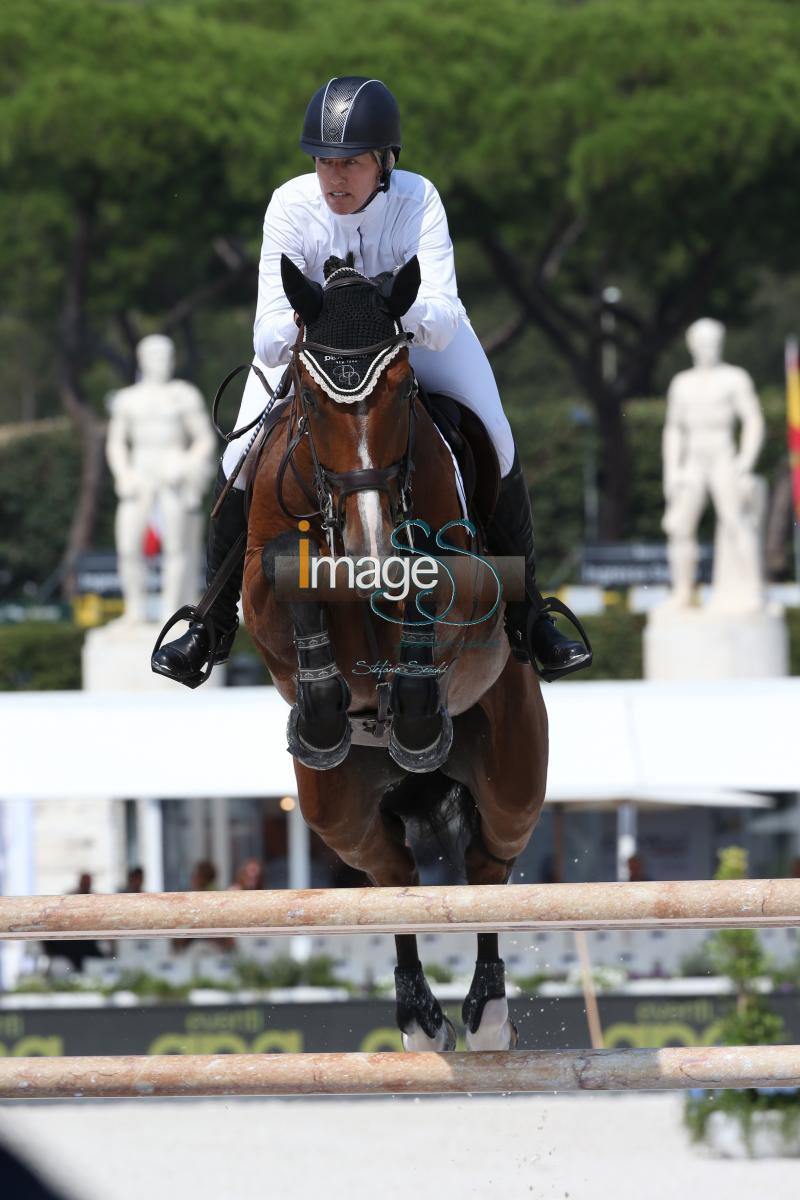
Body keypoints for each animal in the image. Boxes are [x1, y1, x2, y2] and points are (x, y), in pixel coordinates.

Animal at [242, 255, 551, 1051]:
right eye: (310, 398)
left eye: (404, 389)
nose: (371, 547)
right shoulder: (261, 595)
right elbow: (288, 575)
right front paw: (324, 711)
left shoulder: (467, 585)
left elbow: (428, 589)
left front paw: (414, 712)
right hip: (337, 812)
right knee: (393, 877)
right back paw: (418, 1016)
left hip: (512, 778)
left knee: (487, 867)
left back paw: (487, 1013)